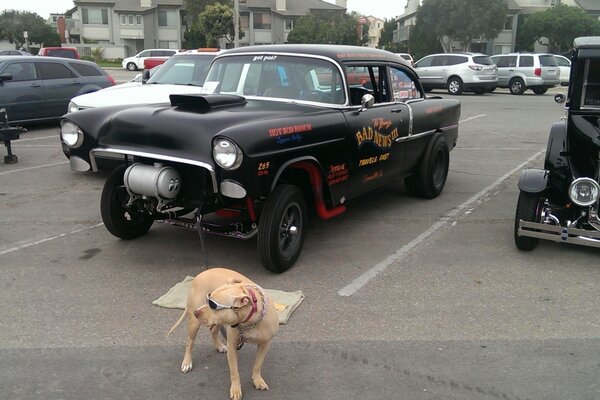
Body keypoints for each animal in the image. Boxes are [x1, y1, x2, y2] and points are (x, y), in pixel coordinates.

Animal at [168, 268, 280, 400]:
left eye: (213, 305)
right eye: (208, 300)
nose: (196, 312)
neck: (249, 321)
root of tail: (201, 274)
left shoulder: (264, 345)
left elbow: (257, 365)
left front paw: (257, 380)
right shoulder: (232, 346)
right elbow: (234, 372)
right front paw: (236, 389)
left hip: (220, 321)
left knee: (213, 330)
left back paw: (219, 346)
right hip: (194, 323)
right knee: (189, 342)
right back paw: (187, 362)